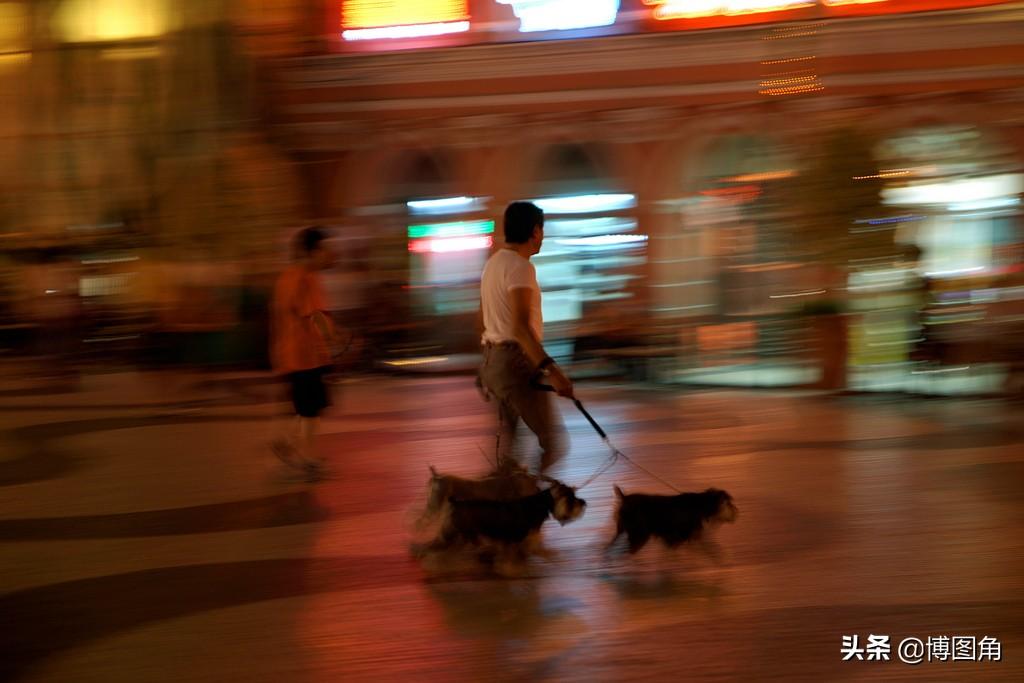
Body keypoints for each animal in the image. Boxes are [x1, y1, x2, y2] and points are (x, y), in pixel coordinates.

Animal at [606, 485, 737, 557]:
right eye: (728, 504)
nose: (736, 513)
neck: (702, 506)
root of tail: (624, 498)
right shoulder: (679, 534)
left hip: (627, 529)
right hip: (639, 532)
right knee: (630, 546)